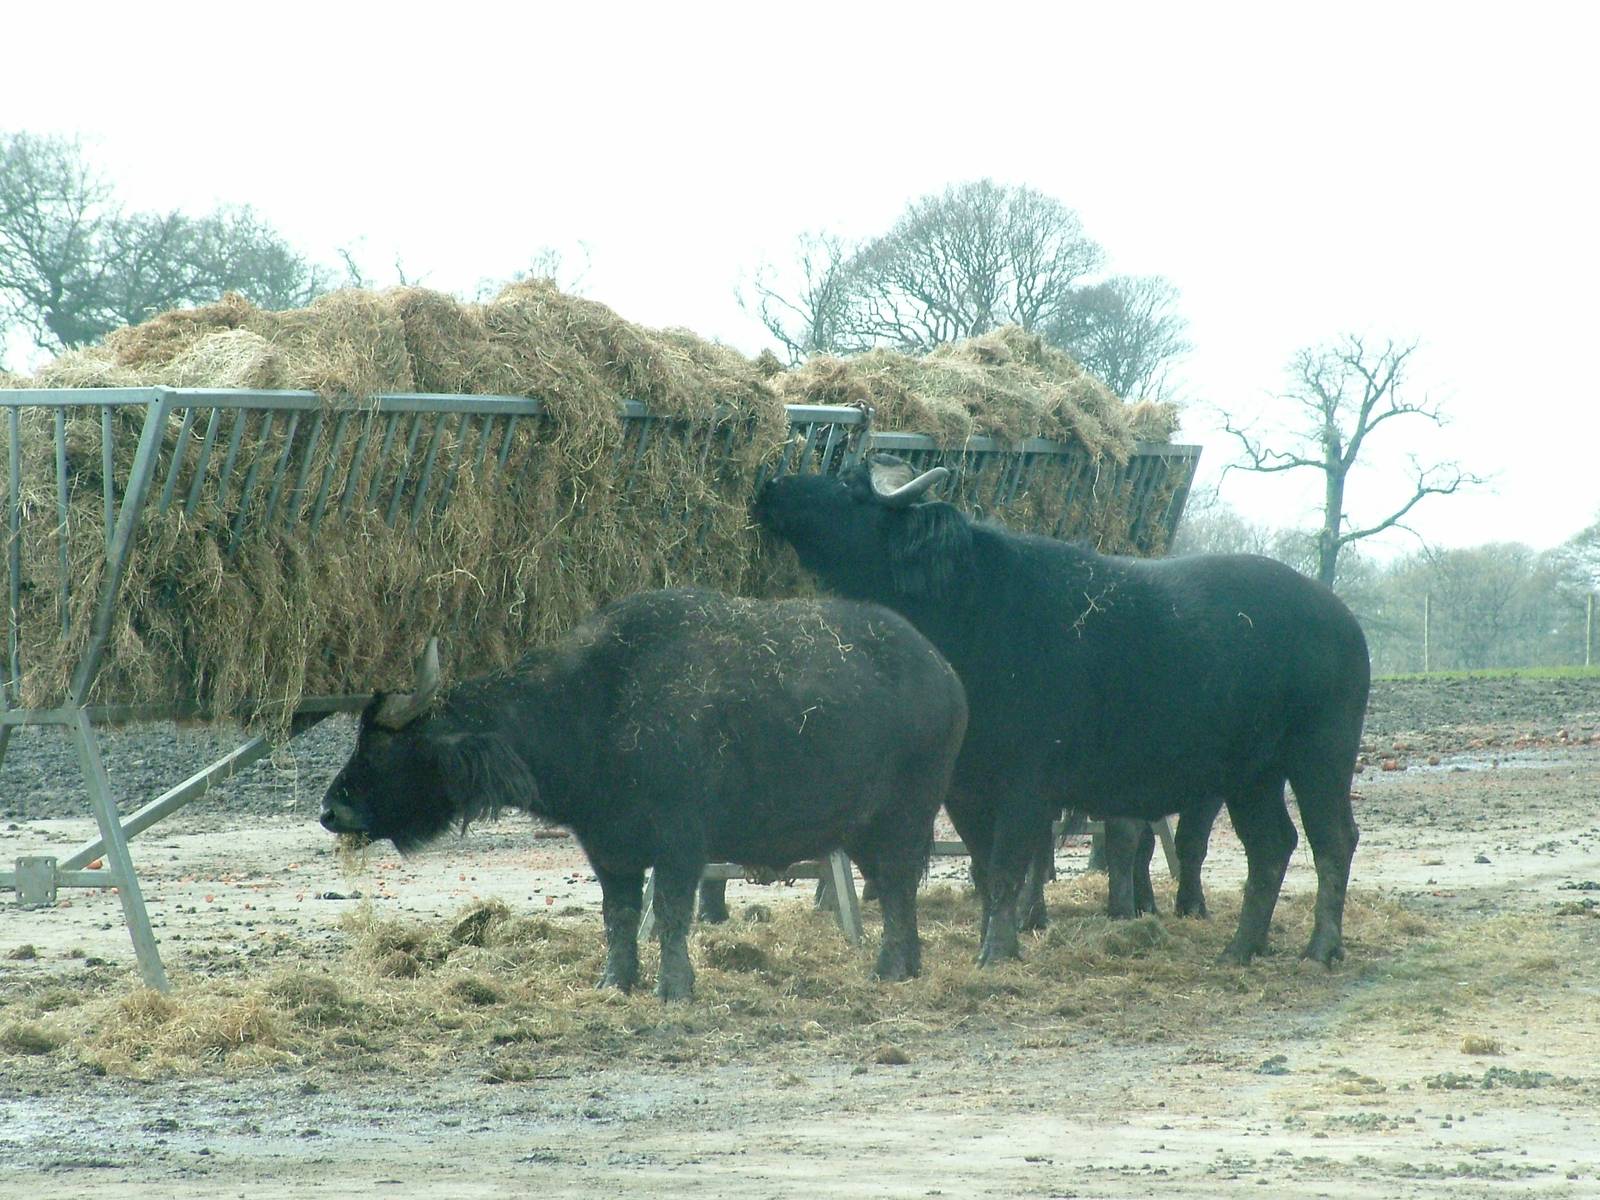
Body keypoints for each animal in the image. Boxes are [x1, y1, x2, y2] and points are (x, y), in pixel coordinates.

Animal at [320, 588, 968, 1000]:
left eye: (383, 750)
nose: (331, 809)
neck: (593, 706)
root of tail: (943, 672)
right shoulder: (609, 850)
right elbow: (619, 916)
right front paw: (616, 982)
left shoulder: (680, 846)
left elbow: (674, 914)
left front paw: (674, 988)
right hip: (866, 831)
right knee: (895, 889)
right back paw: (904, 966)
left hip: (902, 819)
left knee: (899, 887)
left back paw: (891, 967)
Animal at [755, 455, 1369, 968]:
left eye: (851, 487)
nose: (772, 486)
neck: (970, 613)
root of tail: (1341, 616)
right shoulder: (964, 790)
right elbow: (984, 871)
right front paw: (993, 941)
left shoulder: (1026, 786)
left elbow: (1008, 868)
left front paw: (997, 952)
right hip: (1251, 777)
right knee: (1272, 847)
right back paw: (1241, 949)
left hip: (1321, 758)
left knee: (1333, 840)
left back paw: (1320, 947)